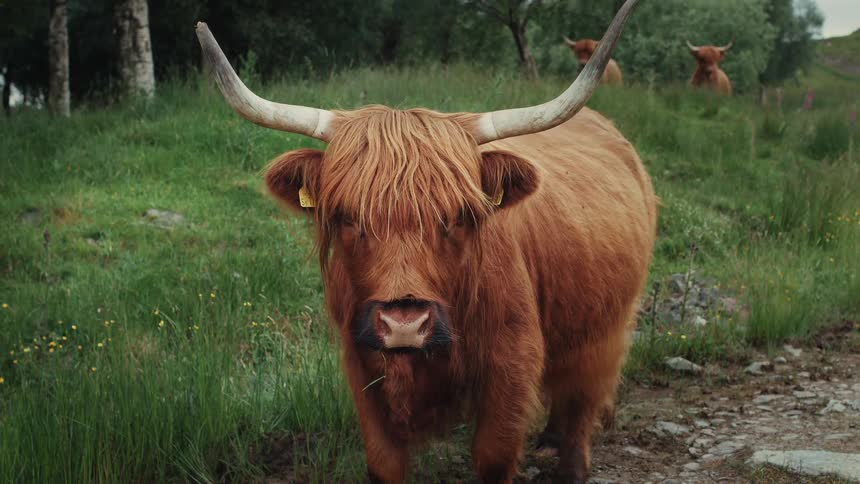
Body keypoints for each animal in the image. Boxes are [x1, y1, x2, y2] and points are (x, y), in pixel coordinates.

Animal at [196, 1, 654, 482]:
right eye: (347, 218)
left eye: (456, 217)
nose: (404, 325)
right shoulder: (361, 364)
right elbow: (384, 461)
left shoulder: (511, 365)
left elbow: (493, 455)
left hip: (605, 327)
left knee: (581, 399)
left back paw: (573, 465)